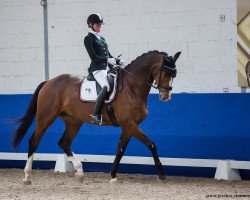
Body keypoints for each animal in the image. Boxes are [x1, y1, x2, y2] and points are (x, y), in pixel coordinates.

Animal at [11, 50, 181, 184]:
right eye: (166, 72)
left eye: (174, 74)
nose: (166, 97)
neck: (132, 87)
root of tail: (49, 82)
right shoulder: (130, 124)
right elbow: (151, 144)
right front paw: (161, 175)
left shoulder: (128, 126)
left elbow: (120, 149)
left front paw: (113, 175)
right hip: (45, 118)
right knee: (34, 141)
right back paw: (27, 176)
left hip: (73, 121)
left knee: (64, 143)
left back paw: (79, 172)